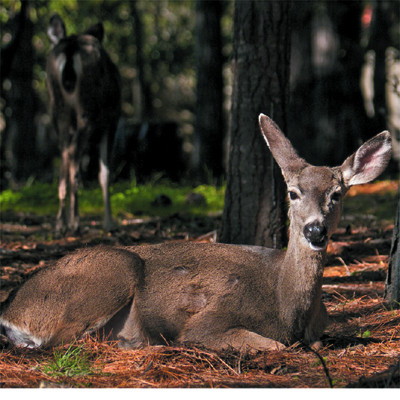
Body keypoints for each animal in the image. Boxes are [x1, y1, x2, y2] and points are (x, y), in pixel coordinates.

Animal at [0, 115, 390, 354]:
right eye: (292, 193)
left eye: (336, 194)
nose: (315, 229)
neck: (286, 307)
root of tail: (10, 308)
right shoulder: (210, 320)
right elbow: (276, 345)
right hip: (113, 270)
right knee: (58, 342)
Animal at [45, 14, 120, 234]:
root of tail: (70, 48)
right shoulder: (111, 122)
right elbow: (105, 173)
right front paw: (109, 222)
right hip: (88, 109)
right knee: (73, 153)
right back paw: (75, 221)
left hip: (58, 109)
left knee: (64, 152)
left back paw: (60, 222)